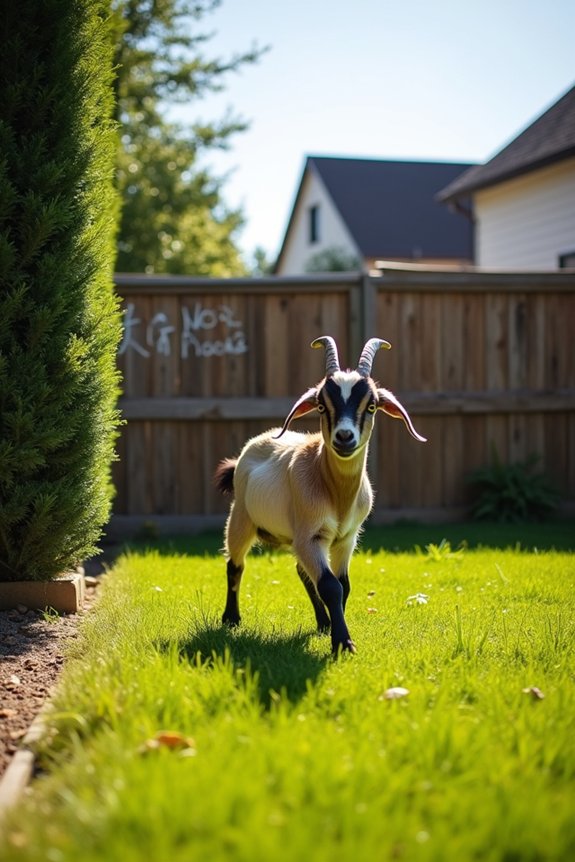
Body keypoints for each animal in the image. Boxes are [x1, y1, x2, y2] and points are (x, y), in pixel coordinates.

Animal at [214, 336, 426, 654]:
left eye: (372, 406)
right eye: (322, 406)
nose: (344, 437)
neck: (335, 492)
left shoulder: (345, 539)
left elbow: (342, 585)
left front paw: (335, 632)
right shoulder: (311, 535)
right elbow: (329, 586)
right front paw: (343, 643)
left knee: (302, 572)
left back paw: (323, 622)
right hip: (241, 518)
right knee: (235, 564)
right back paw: (231, 618)